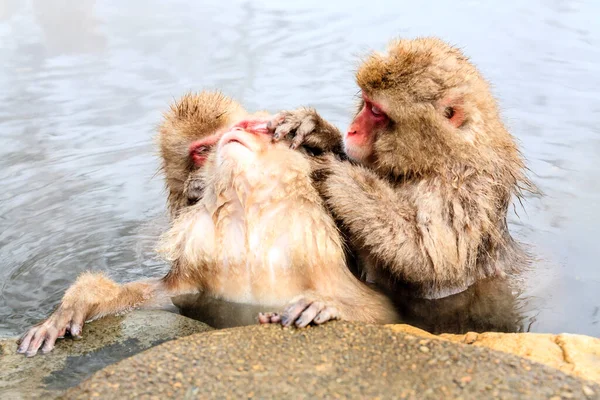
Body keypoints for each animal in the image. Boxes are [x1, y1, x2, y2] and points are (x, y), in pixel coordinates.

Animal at [16, 93, 396, 356]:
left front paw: (326, 307)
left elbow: (386, 311)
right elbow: (156, 296)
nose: (236, 131)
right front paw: (74, 305)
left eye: (259, 129)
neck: (249, 222)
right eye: (240, 128)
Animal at [270, 37, 532, 320]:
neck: (437, 159)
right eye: (365, 102)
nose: (352, 130)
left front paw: (341, 178)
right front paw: (315, 129)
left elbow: (430, 262)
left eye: (376, 112)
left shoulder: (461, 188)